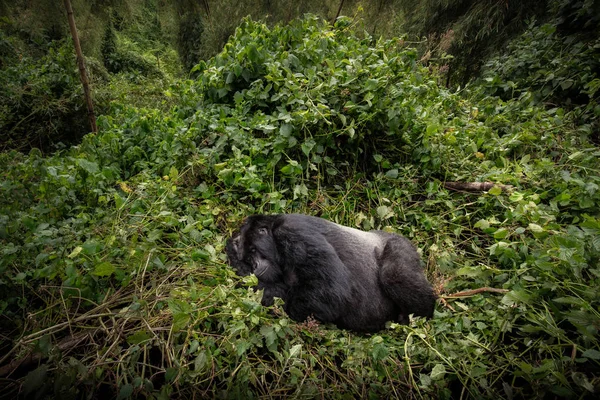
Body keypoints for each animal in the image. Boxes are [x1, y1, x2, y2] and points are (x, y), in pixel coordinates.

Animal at [225, 214, 436, 332]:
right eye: (248, 258)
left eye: (254, 250)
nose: (255, 266)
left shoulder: (292, 229)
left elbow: (332, 291)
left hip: (403, 244)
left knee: (393, 275)